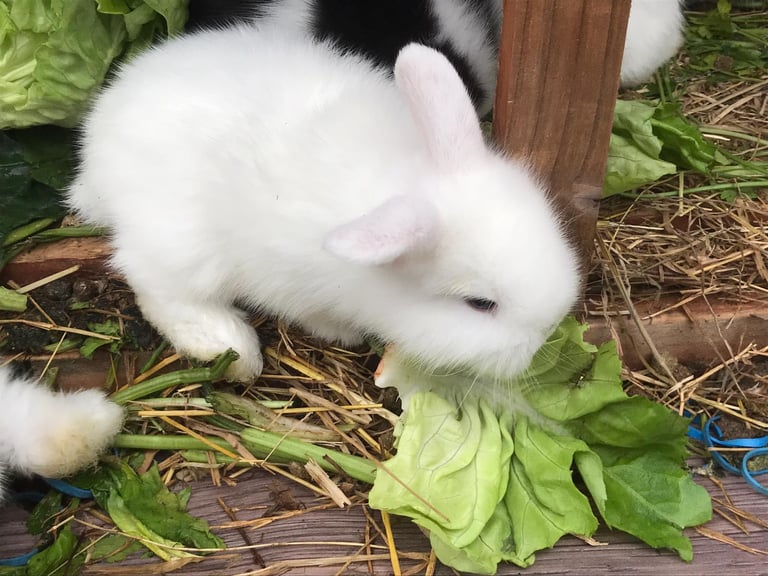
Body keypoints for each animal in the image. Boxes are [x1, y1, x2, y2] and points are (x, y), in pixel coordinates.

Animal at [68, 26, 580, 383]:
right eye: (480, 304)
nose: (546, 334)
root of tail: (97, 135)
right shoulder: (292, 283)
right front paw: (345, 334)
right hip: (181, 245)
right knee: (159, 291)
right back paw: (230, 347)